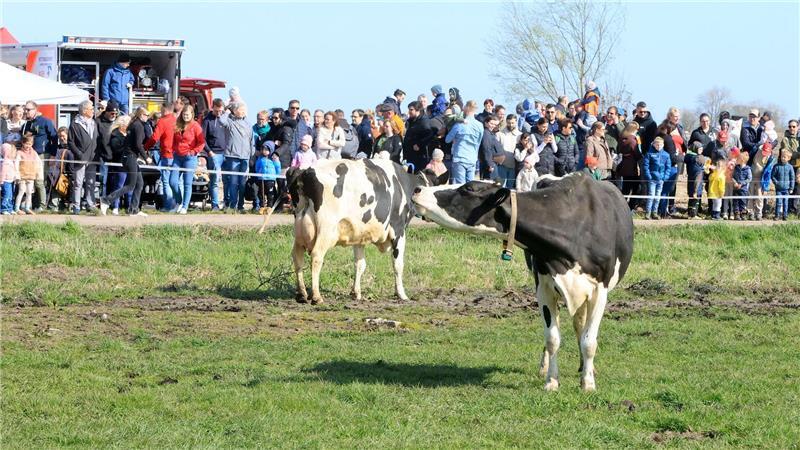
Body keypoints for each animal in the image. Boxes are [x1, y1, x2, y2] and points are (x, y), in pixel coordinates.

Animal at [287, 159, 447, 305]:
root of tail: (304, 172)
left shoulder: (359, 235)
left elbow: (360, 264)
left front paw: (356, 293)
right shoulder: (398, 230)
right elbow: (398, 264)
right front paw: (401, 294)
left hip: (299, 230)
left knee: (297, 257)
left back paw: (302, 294)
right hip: (326, 229)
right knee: (316, 256)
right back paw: (316, 296)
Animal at [411, 174, 634, 391]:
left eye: (469, 188)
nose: (417, 189)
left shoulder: (599, 290)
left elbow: (589, 341)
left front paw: (588, 384)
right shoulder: (544, 287)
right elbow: (552, 337)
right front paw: (551, 381)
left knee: (580, 325)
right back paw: (548, 367)